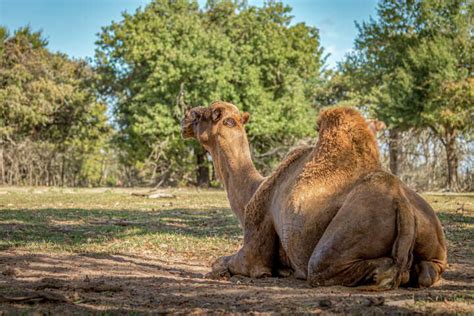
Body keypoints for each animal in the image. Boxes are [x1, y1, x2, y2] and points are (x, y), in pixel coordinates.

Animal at [180, 101, 446, 288]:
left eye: (203, 115)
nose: (186, 117)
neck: (255, 189)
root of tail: (402, 206)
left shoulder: (254, 248)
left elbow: (221, 262)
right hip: (434, 244)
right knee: (427, 272)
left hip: (344, 237)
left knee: (322, 267)